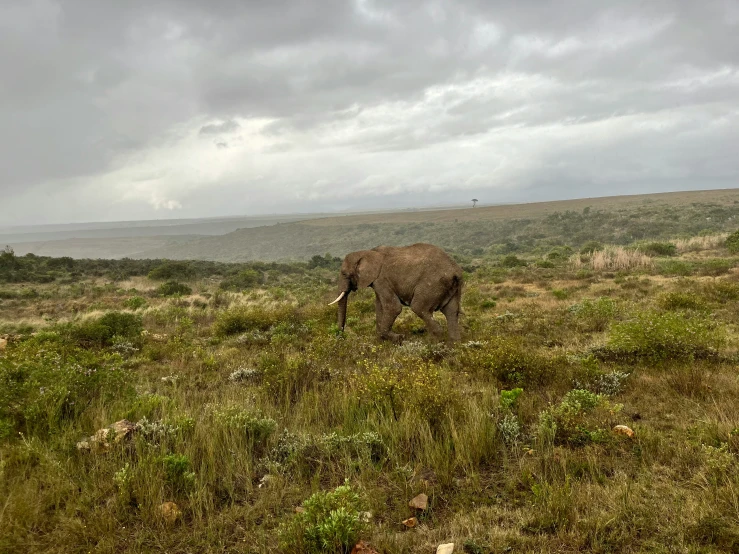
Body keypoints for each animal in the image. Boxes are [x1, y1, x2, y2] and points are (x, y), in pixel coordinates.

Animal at [330, 243, 462, 340]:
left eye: (344, 274)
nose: (340, 336)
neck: (366, 252)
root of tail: (455, 270)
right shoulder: (378, 282)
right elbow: (379, 307)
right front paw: (382, 340)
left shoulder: (382, 279)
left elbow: (393, 307)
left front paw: (399, 338)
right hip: (452, 287)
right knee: (452, 312)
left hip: (432, 283)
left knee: (419, 307)